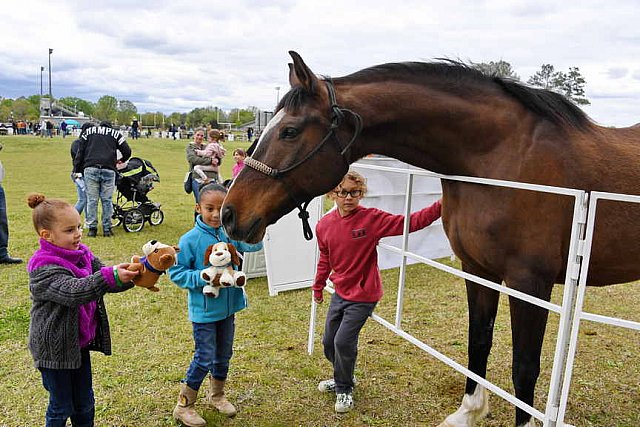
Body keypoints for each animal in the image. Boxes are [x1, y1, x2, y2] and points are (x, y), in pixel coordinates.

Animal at [222, 51, 640, 426]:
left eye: (289, 131)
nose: (229, 214)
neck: (503, 156)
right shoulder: (479, 271)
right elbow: (479, 341)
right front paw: (468, 412)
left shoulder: (530, 283)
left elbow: (524, 367)